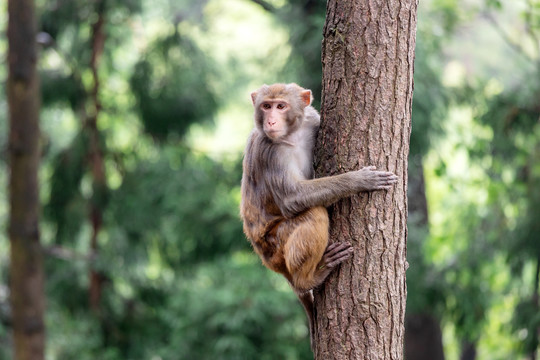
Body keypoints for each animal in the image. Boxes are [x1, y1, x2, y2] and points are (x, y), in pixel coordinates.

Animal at [240, 83, 396, 348]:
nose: (270, 121)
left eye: (280, 106)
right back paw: (310, 277)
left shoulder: (311, 119)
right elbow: (291, 200)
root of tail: (266, 258)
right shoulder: (269, 152)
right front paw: (357, 180)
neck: (291, 136)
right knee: (314, 213)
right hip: (276, 244)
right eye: (266, 106)